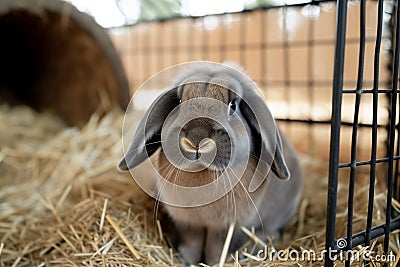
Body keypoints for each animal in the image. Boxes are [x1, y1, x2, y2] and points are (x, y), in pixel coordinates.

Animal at [119, 62, 304, 266]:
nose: (196, 138)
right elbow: (191, 245)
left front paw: (216, 263)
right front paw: (188, 261)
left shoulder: (228, 228)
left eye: (233, 105)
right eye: (179, 101)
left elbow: (217, 249)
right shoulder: (188, 224)